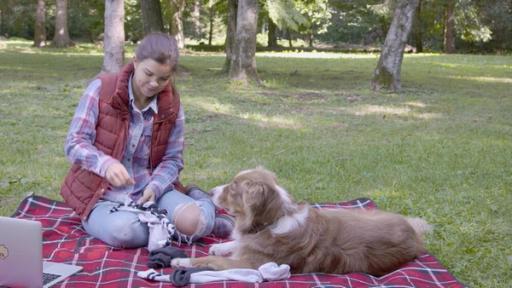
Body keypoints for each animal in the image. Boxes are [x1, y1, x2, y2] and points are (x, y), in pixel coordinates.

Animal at [172, 168, 432, 276]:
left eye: (233, 188)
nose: (210, 192)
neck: (271, 221)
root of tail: (413, 232)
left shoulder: (250, 264)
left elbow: (211, 259)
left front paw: (181, 260)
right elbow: (237, 242)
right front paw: (222, 245)